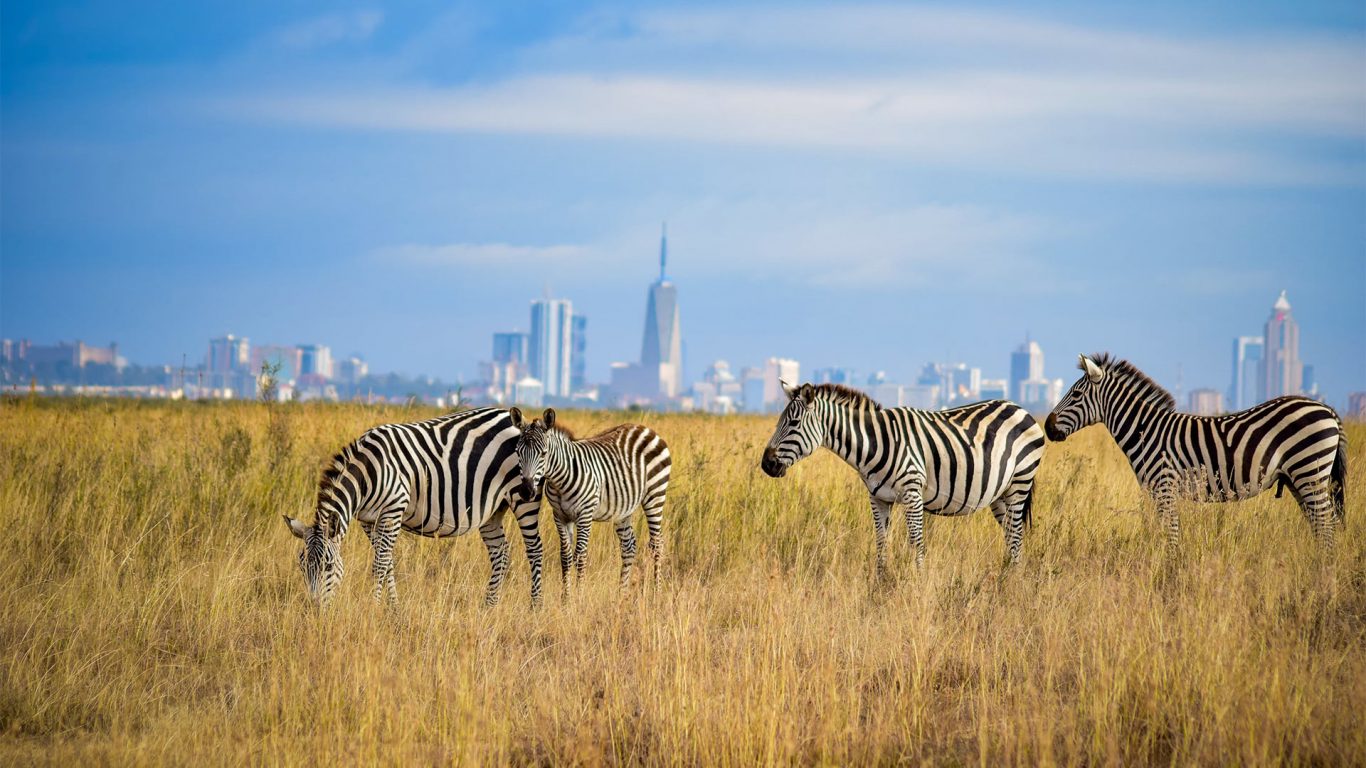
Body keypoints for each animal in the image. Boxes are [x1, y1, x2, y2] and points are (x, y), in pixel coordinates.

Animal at [281, 404, 543, 606]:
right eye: (302, 566)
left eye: (328, 566)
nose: (315, 609)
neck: (368, 473)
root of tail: (510, 417)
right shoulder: (368, 520)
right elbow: (387, 563)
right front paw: (393, 608)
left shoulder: (393, 510)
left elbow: (380, 564)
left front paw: (374, 607)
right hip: (492, 510)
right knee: (501, 553)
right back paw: (489, 606)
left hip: (523, 497)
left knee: (535, 549)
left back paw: (535, 606)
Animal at [510, 409, 669, 587]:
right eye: (517, 452)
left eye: (544, 454)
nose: (526, 492)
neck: (560, 481)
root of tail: (645, 428)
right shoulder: (559, 516)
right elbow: (565, 557)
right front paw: (565, 595)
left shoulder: (584, 515)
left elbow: (580, 556)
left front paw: (579, 593)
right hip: (623, 508)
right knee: (629, 547)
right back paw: (622, 591)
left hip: (655, 495)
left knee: (657, 544)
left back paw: (656, 589)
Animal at [759, 379, 1043, 571]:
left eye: (793, 423)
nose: (766, 464)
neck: (874, 444)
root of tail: (1019, 408)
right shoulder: (878, 498)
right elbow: (881, 543)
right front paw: (880, 586)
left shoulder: (912, 493)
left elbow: (916, 543)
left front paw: (917, 584)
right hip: (1000, 494)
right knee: (1010, 535)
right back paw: (1006, 577)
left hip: (1020, 483)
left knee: (1016, 535)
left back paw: (1011, 583)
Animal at [1043, 352, 1344, 549]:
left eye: (1076, 395)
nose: (1047, 426)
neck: (1145, 431)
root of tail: (1327, 409)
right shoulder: (1158, 491)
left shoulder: (1164, 487)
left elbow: (1171, 535)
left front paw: (1169, 572)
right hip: (1298, 478)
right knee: (1320, 525)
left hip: (1309, 470)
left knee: (1326, 525)